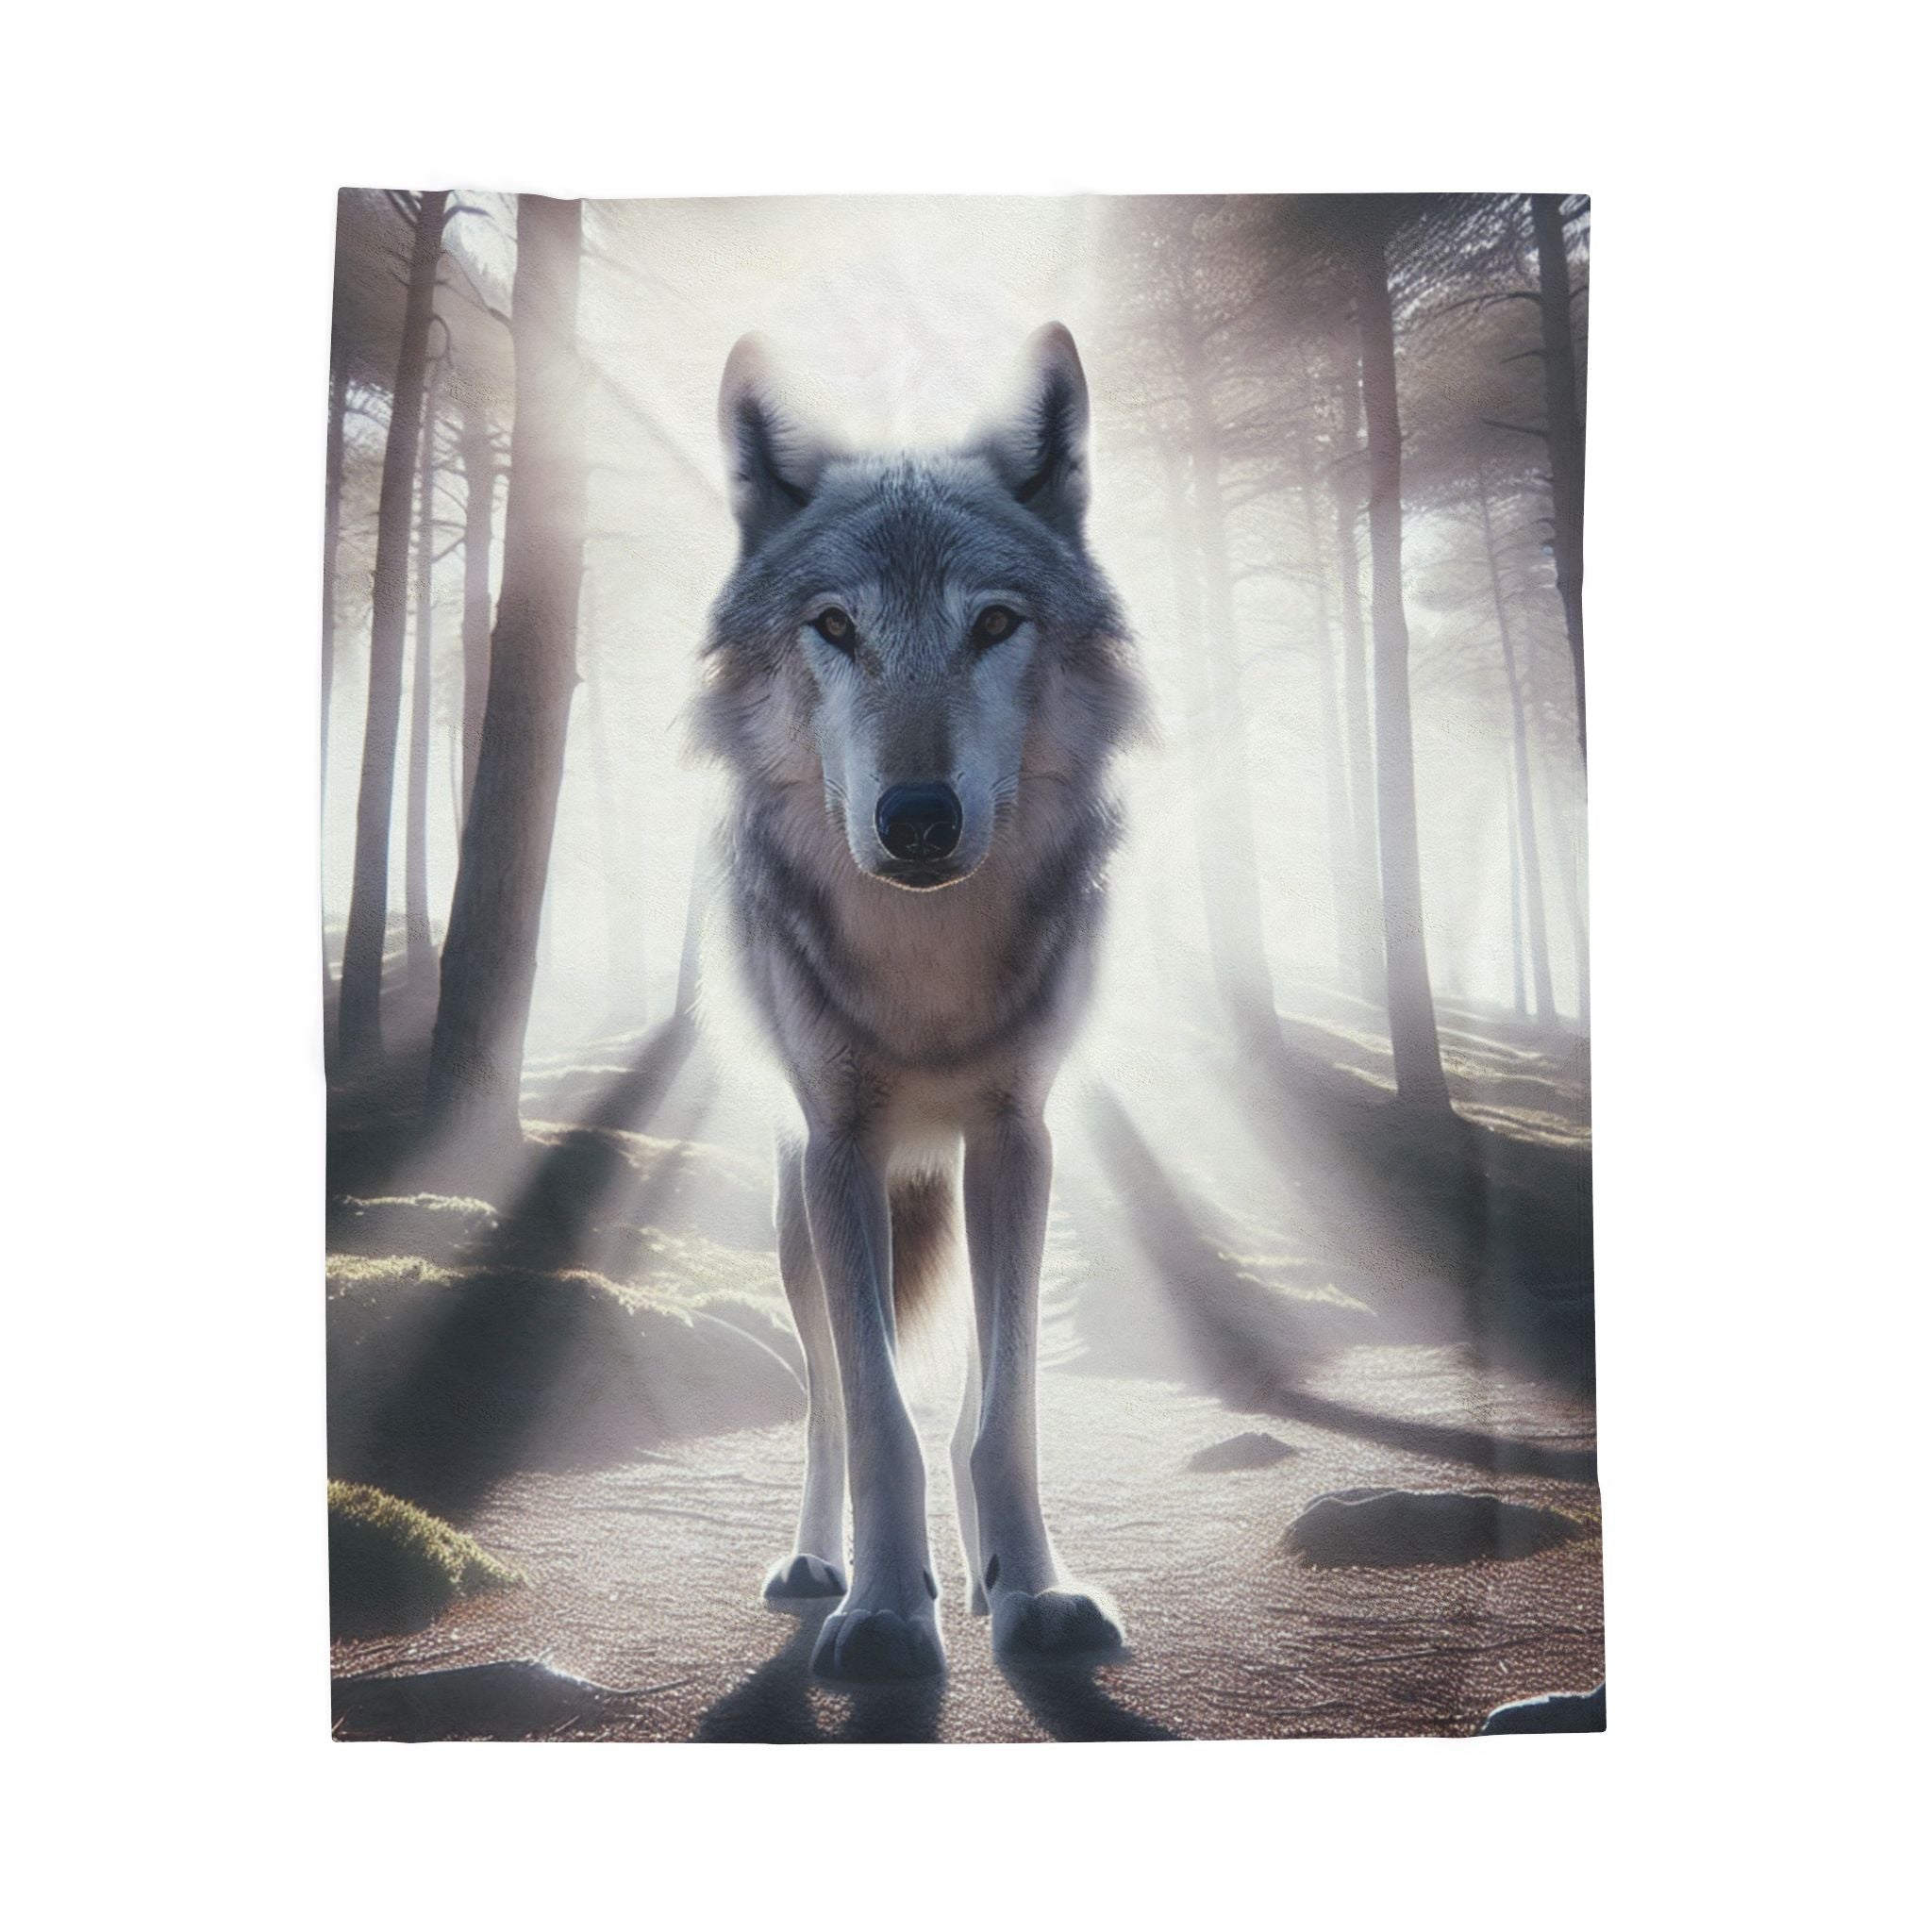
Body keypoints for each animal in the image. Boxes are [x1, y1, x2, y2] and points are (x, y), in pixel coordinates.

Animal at [695, 323, 1147, 1681]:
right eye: (835, 626)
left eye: (993, 622)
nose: (917, 818)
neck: (927, 969)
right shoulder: (841, 1146)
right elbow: (878, 1413)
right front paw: (889, 1609)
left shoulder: (1015, 1138)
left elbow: (1001, 1413)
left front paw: (1032, 1590)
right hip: (798, 1213)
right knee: (827, 1402)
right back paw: (817, 1565)